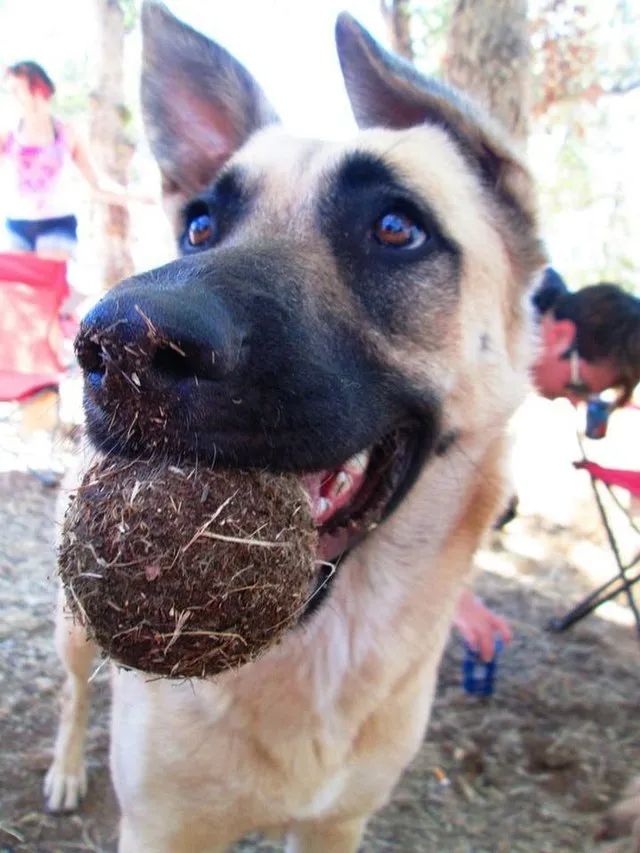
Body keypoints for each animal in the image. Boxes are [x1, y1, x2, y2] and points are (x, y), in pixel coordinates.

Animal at [45, 3, 544, 848]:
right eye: (201, 226)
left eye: (396, 227)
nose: (119, 345)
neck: (323, 655)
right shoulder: (162, 825)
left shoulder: (336, 824)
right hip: (76, 623)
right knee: (76, 687)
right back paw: (64, 766)